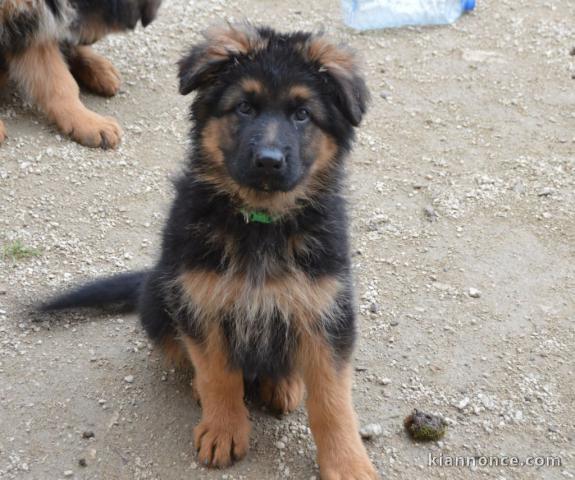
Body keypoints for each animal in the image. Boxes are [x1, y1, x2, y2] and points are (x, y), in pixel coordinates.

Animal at [44, 24, 378, 478]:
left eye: (302, 114)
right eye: (244, 108)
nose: (268, 161)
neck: (260, 222)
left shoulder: (326, 310)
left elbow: (332, 400)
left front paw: (347, 462)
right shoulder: (201, 302)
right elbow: (219, 373)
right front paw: (223, 429)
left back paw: (285, 384)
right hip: (160, 298)